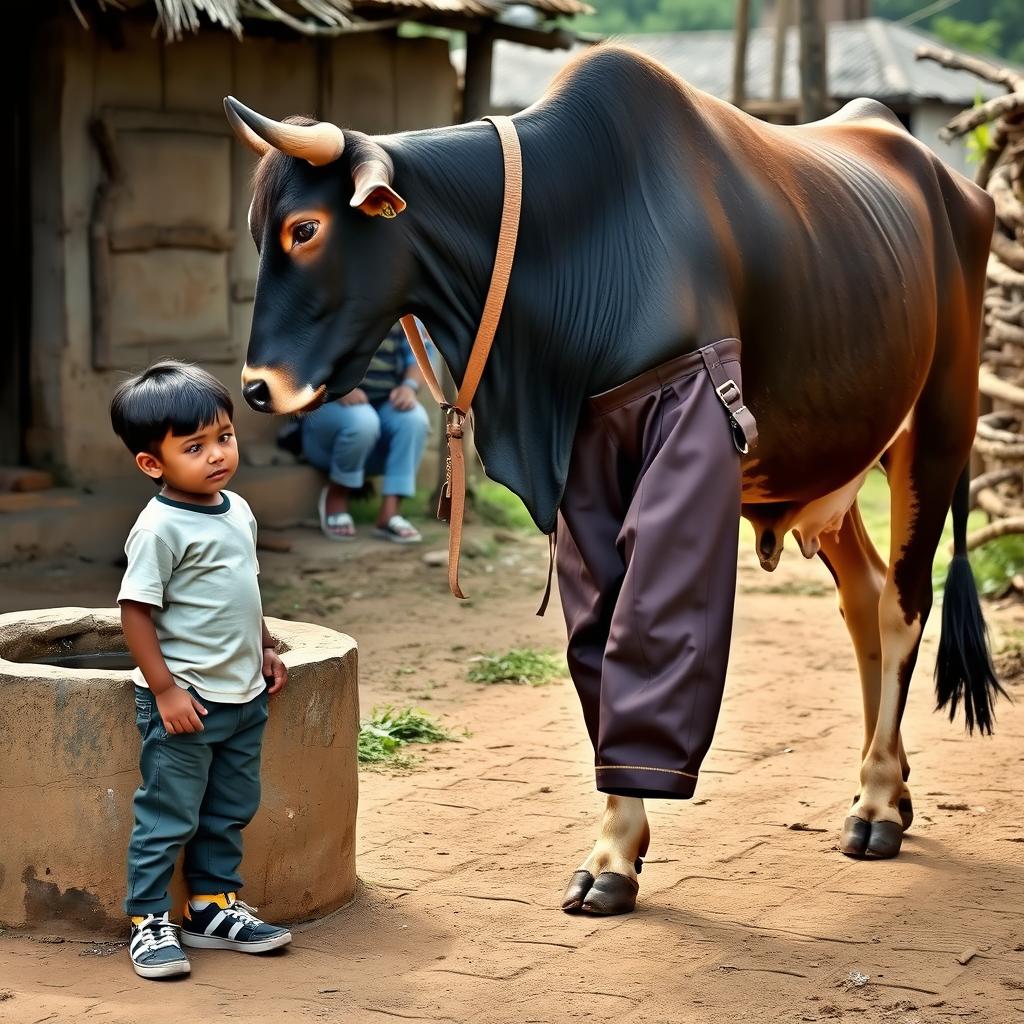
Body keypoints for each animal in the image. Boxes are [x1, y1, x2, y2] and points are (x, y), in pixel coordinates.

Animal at [222, 44, 999, 917]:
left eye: (306, 227)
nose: (256, 388)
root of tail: (955, 183)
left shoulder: (690, 425)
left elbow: (650, 628)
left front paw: (617, 853)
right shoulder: (585, 465)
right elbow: (600, 641)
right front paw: (615, 847)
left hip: (939, 425)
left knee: (903, 605)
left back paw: (877, 803)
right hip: (837, 457)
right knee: (863, 597)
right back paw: (886, 786)